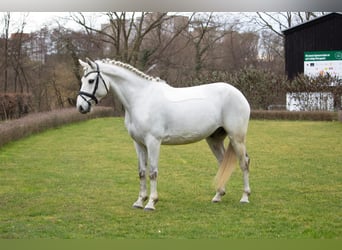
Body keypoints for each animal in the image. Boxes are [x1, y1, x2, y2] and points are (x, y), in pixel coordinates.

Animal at [76, 58, 251, 211]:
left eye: (91, 80)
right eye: (82, 80)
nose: (80, 107)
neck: (141, 98)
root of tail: (239, 94)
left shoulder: (153, 142)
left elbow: (153, 172)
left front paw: (151, 203)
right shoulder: (138, 143)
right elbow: (141, 172)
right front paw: (139, 201)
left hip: (237, 138)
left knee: (244, 163)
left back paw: (245, 197)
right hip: (214, 139)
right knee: (223, 163)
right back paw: (218, 195)